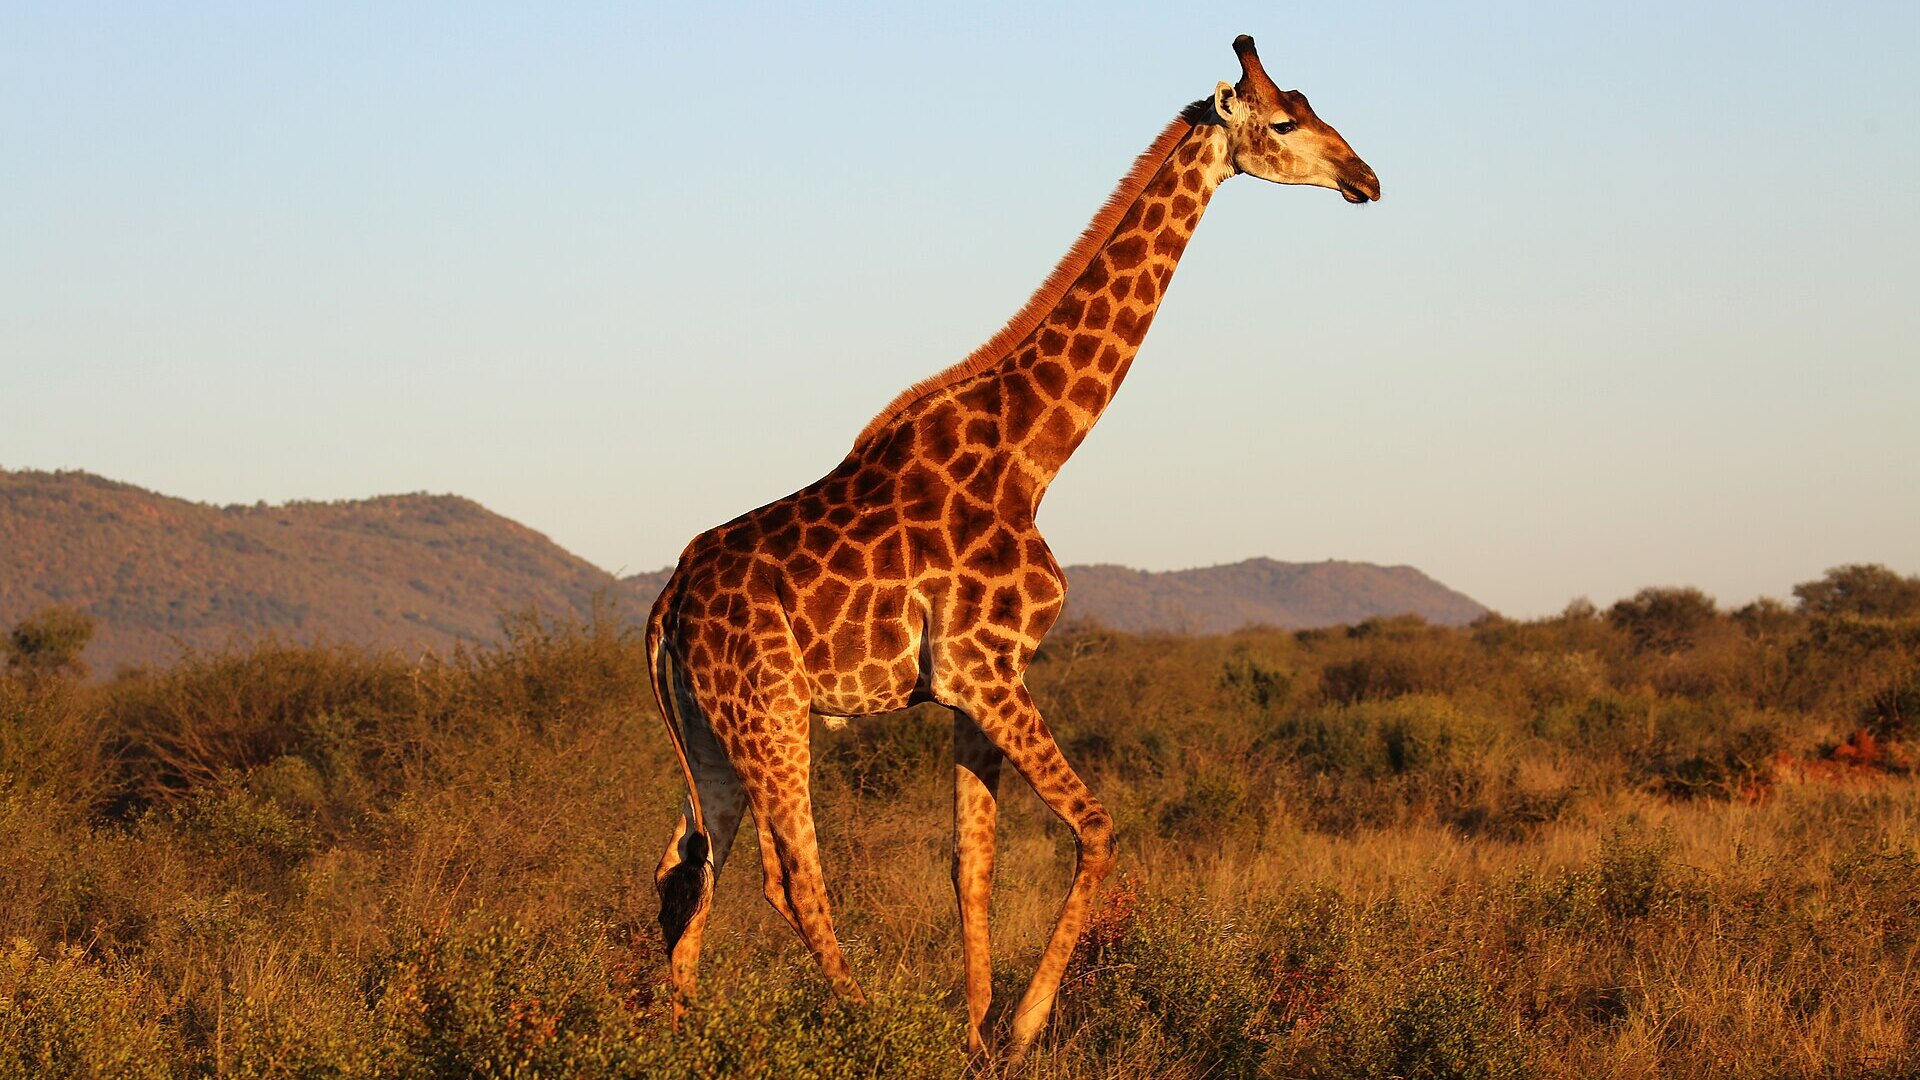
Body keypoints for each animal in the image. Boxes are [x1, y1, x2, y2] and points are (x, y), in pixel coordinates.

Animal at [647, 34, 1378, 1062]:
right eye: (1283, 121)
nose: (1366, 178)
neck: (1034, 452)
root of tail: (666, 604)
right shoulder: (987, 668)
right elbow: (1098, 828)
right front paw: (1021, 1026)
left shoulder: (967, 686)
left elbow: (972, 862)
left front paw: (977, 1031)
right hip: (772, 712)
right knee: (787, 877)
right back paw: (870, 1028)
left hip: (710, 729)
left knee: (690, 867)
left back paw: (678, 1039)